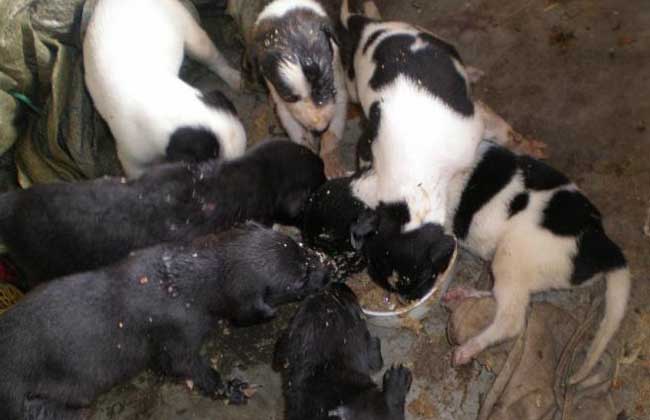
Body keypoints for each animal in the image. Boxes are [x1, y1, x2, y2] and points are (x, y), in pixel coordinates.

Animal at [0, 223, 330, 420]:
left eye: (300, 247)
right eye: (299, 281)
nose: (329, 272)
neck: (183, 283)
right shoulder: (178, 334)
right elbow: (187, 366)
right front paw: (229, 388)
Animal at [248, 0, 350, 177]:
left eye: (326, 84)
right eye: (291, 97)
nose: (320, 128)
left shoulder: (339, 87)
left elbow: (333, 131)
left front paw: (331, 160)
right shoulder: (282, 103)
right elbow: (296, 131)